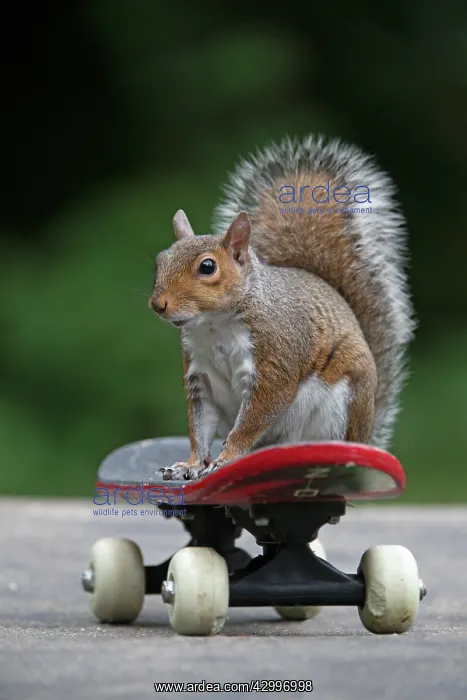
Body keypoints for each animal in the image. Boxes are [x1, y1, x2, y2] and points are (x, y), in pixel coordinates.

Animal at [149, 135, 415, 481]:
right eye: (160, 261)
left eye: (207, 267)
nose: (158, 304)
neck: (214, 326)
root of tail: (366, 435)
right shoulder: (200, 378)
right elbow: (199, 426)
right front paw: (191, 464)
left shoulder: (276, 359)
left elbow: (255, 417)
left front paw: (227, 457)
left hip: (339, 406)